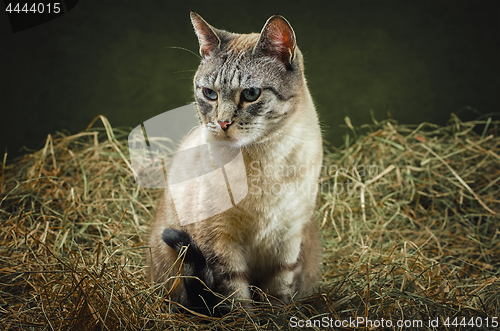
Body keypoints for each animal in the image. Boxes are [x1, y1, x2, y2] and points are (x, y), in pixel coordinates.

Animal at [146, 11, 324, 316]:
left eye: (251, 94)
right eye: (210, 93)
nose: (222, 123)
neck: (263, 159)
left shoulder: (288, 238)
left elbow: (278, 296)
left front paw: (277, 318)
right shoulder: (220, 241)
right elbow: (237, 299)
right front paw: (246, 319)